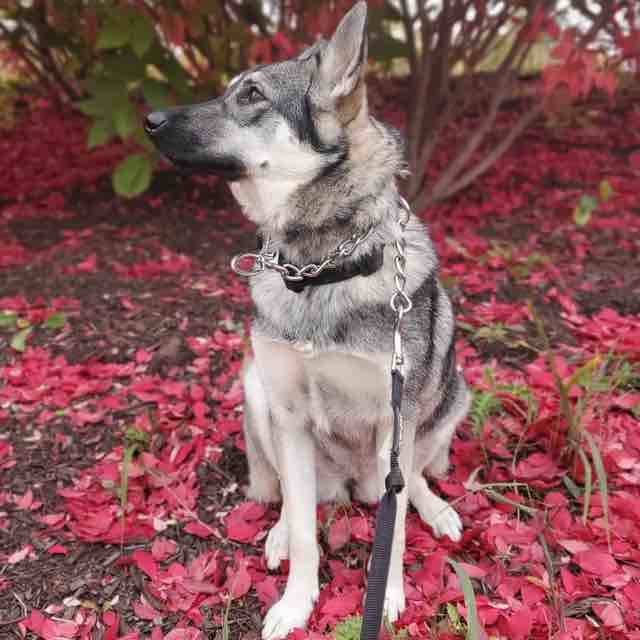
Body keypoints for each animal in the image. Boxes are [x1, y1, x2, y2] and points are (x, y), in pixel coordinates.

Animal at [145, 2, 470, 638]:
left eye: (251, 94)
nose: (150, 118)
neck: (320, 268)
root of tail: (353, 484)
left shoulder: (395, 421)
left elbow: (394, 532)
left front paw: (389, 596)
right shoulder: (289, 414)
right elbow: (302, 530)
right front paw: (296, 603)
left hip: (449, 400)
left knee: (412, 482)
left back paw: (437, 508)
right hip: (257, 394)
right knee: (300, 502)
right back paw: (276, 534)